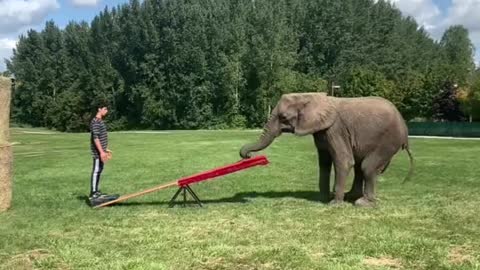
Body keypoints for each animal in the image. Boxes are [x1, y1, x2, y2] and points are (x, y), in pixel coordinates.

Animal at [239, 92, 412, 207]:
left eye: (283, 117)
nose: (247, 156)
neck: (310, 97)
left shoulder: (335, 129)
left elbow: (343, 160)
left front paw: (334, 204)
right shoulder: (321, 131)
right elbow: (324, 162)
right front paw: (322, 198)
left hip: (388, 141)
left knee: (367, 166)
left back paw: (362, 203)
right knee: (360, 166)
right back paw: (351, 196)